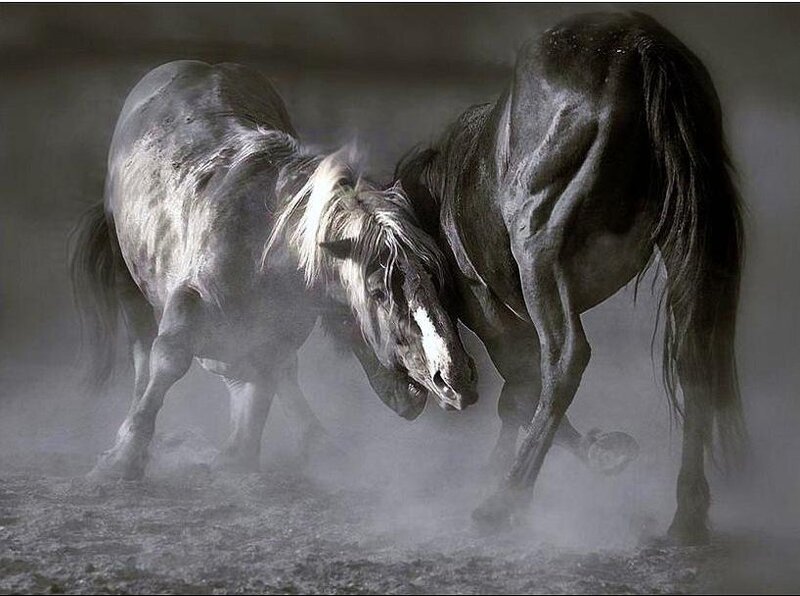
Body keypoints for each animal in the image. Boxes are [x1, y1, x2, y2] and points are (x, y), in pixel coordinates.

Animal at [70, 60, 477, 481]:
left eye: (437, 281)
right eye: (378, 291)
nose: (453, 377)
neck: (267, 249)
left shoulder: (275, 333)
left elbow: (265, 378)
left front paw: (238, 454)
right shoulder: (190, 299)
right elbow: (168, 358)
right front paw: (124, 455)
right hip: (127, 277)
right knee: (142, 353)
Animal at [394, 12, 745, 544]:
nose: (446, 382)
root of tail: (639, 44)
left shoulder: (495, 315)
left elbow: (521, 391)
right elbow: (518, 395)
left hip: (539, 246)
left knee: (564, 359)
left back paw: (505, 501)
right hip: (688, 246)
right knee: (694, 360)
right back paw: (686, 517)